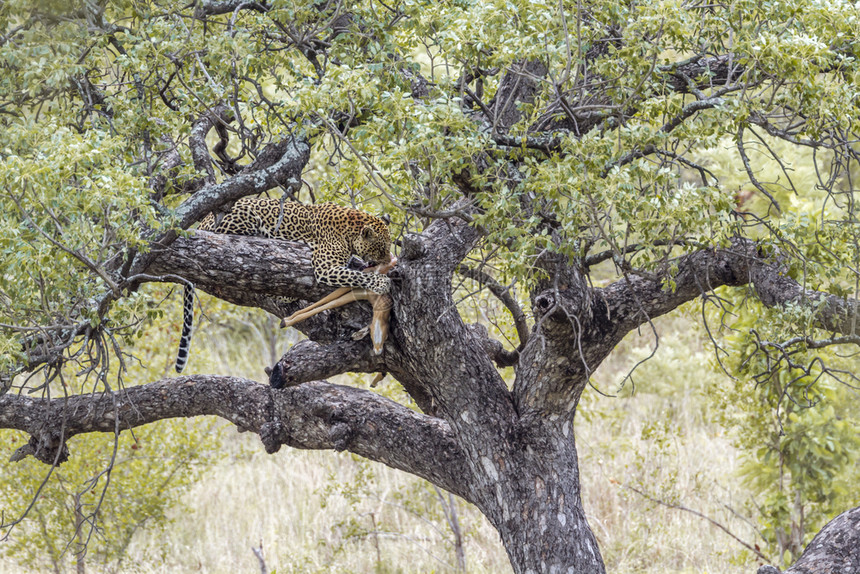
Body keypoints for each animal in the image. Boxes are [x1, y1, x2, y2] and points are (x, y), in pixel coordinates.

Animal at [176, 198, 396, 376]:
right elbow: (356, 275)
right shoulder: (325, 268)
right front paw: (382, 282)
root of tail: (201, 222)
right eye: (381, 248)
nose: (389, 260)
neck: (351, 228)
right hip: (245, 216)